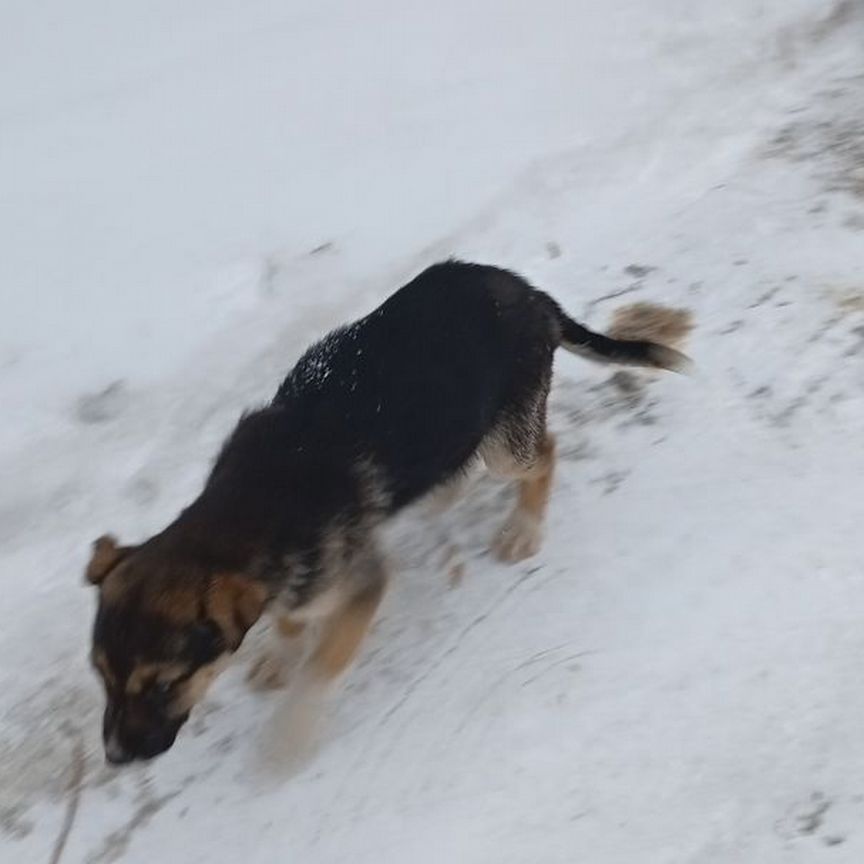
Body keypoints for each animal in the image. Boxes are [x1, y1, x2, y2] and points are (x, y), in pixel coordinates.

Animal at [84, 258, 684, 764]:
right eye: (102, 676)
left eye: (164, 684)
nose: (115, 758)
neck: (245, 508)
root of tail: (528, 291)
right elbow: (287, 620)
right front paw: (280, 653)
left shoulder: (361, 585)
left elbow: (320, 670)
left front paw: (286, 742)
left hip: (505, 442)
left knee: (545, 454)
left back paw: (524, 528)